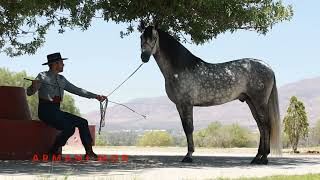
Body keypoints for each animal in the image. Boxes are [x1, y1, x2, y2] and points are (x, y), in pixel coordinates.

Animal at [139, 25, 282, 165]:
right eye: (141, 37)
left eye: (154, 38)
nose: (144, 57)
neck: (180, 69)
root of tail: (268, 67)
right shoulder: (179, 105)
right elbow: (185, 128)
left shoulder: (187, 104)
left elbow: (189, 128)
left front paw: (188, 156)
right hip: (251, 102)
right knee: (261, 127)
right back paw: (257, 157)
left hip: (259, 102)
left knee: (266, 126)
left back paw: (264, 158)